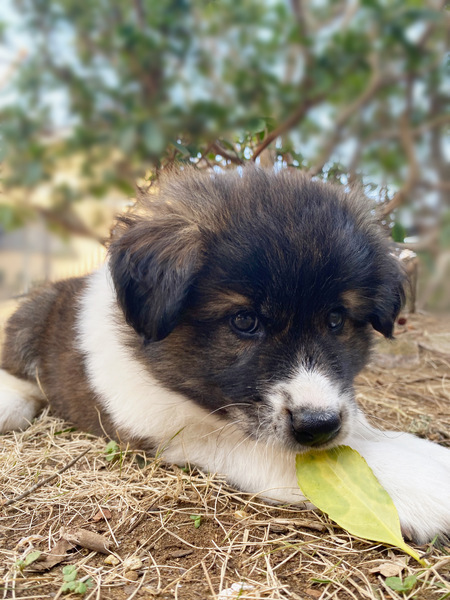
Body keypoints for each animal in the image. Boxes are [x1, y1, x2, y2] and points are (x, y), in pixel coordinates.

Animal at [1, 168, 449, 544]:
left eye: (336, 319)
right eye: (245, 321)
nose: (319, 425)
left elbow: (362, 428)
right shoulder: (177, 432)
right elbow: (274, 451)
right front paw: (419, 484)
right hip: (30, 315)